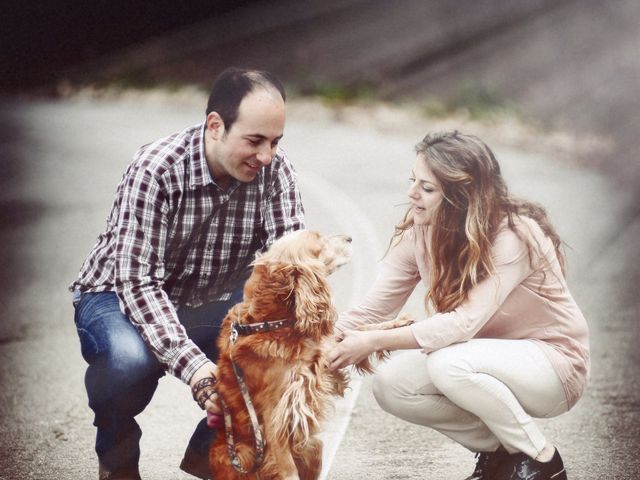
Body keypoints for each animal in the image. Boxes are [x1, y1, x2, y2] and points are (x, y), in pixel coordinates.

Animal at [209, 231, 350, 478]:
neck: (271, 324)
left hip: (313, 447)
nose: (350, 238)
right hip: (243, 452)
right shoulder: (276, 416)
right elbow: (288, 469)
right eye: (320, 240)